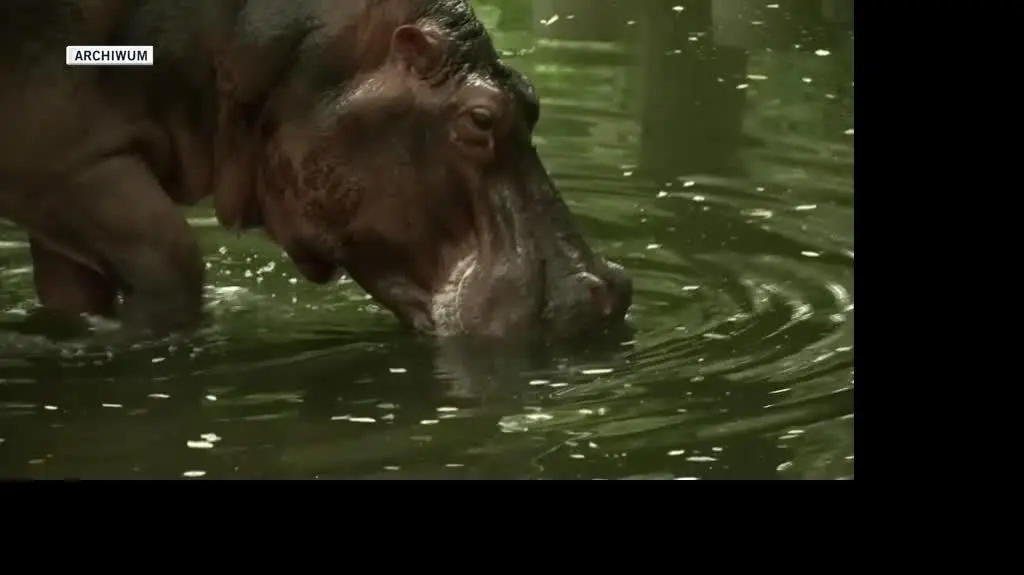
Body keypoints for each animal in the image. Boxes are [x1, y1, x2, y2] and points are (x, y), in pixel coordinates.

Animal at [0, 0, 632, 339]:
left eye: (531, 94)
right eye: (481, 118)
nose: (608, 290)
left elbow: (75, 295)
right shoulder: (67, 168)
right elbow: (172, 261)